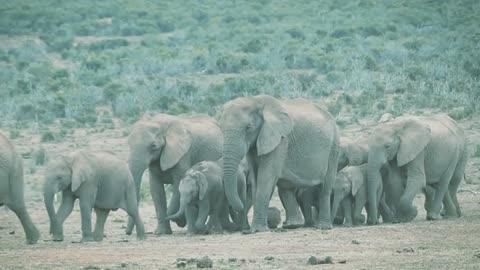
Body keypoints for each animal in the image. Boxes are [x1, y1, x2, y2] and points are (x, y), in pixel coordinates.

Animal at [219, 95, 340, 232]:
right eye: (221, 128)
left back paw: (323, 227)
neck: (255, 100)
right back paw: (292, 225)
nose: (240, 205)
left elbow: (266, 176)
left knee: (325, 187)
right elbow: (256, 178)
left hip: (334, 147)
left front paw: (258, 230)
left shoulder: (280, 139)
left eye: (248, 128)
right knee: (286, 187)